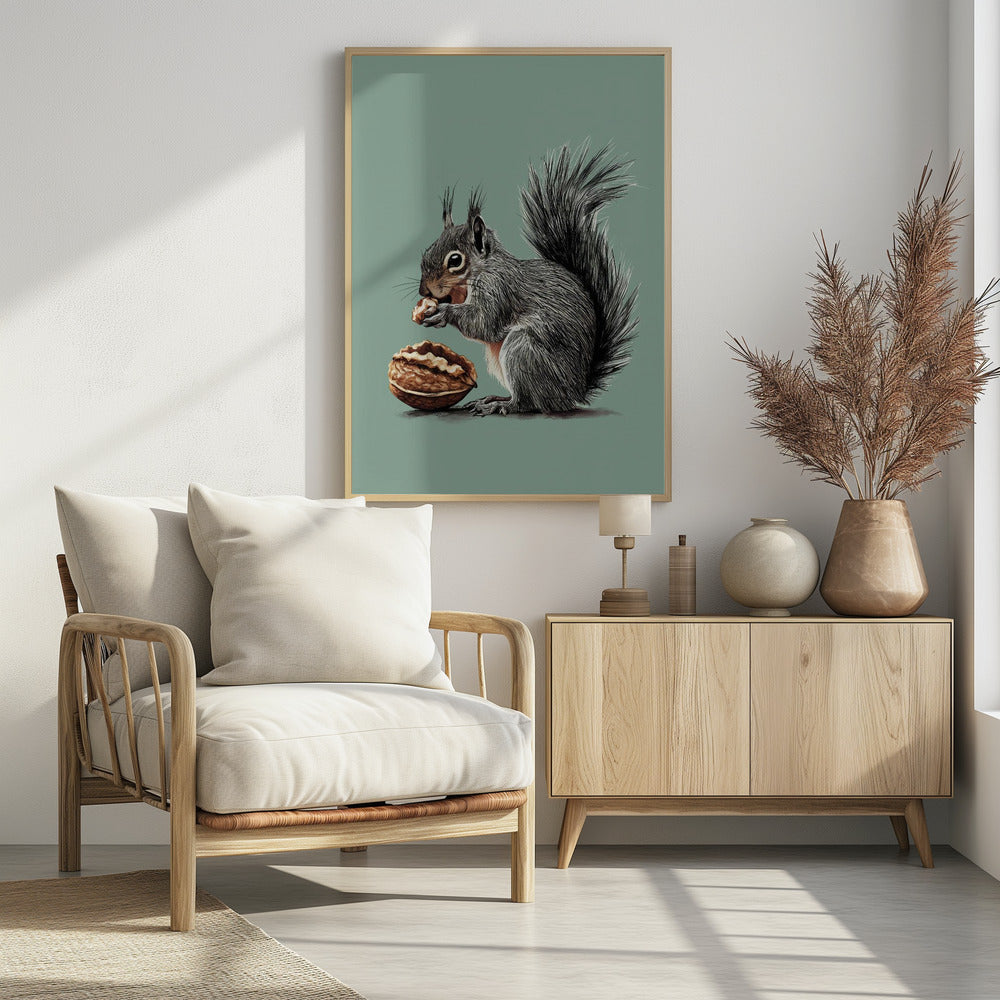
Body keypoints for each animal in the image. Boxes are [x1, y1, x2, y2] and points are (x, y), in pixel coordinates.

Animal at [415, 144, 637, 415]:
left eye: (455, 260)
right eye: (428, 250)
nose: (424, 291)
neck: (479, 272)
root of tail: (574, 392)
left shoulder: (498, 289)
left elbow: (483, 323)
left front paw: (443, 313)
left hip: (523, 351)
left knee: (527, 403)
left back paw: (501, 405)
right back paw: (494, 398)